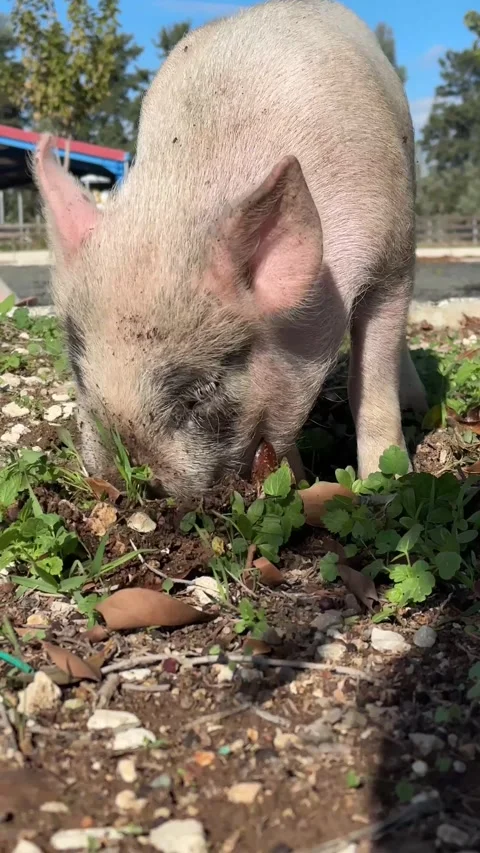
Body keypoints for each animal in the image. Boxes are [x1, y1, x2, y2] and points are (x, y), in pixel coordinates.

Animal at [34, 0, 427, 497]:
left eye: (202, 391)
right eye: (79, 369)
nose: (123, 483)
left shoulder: (391, 260)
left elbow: (371, 384)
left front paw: (383, 484)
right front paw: (293, 483)